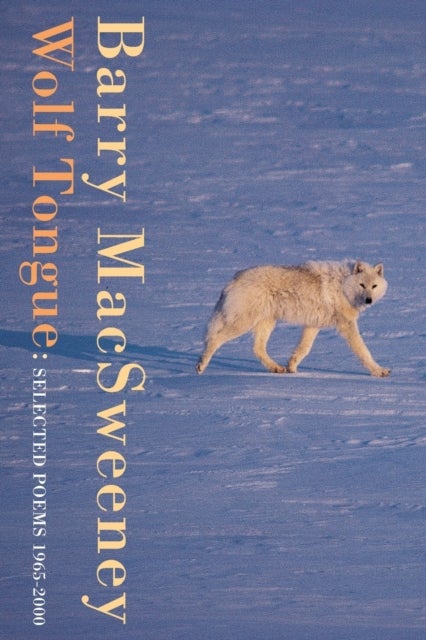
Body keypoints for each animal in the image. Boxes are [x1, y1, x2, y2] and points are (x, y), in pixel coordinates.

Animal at [196, 260, 390, 377]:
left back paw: (277, 368)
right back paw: (201, 366)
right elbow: (363, 351)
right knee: (214, 339)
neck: (343, 285)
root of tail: (234, 278)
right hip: (243, 324)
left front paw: (292, 367)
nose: (369, 300)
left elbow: (303, 349)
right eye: (362, 285)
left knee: (257, 348)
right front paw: (379, 371)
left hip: (267, 324)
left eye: (374, 286)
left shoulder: (313, 325)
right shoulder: (346, 325)